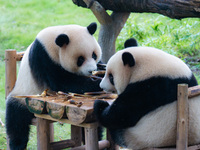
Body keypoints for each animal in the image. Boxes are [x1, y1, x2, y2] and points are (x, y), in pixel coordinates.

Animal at [6, 22, 103, 150]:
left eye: (94, 55)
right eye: (80, 59)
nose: (91, 70)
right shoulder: (44, 58)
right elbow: (63, 82)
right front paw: (98, 82)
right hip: (23, 96)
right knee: (16, 119)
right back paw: (17, 144)